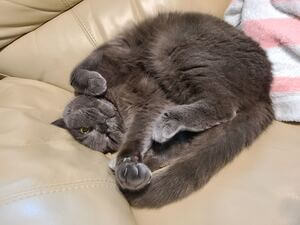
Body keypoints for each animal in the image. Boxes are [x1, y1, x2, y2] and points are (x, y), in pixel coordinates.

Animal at [52, 12, 274, 208]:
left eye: (84, 130)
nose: (103, 128)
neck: (118, 102)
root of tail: (264, 91)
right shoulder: (150, 105)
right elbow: (140, 136)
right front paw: (128, 165)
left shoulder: (118, 65)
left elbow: (75, 73)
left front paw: (95, 84)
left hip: (173, 47)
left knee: (224, 104)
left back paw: (166, 124)